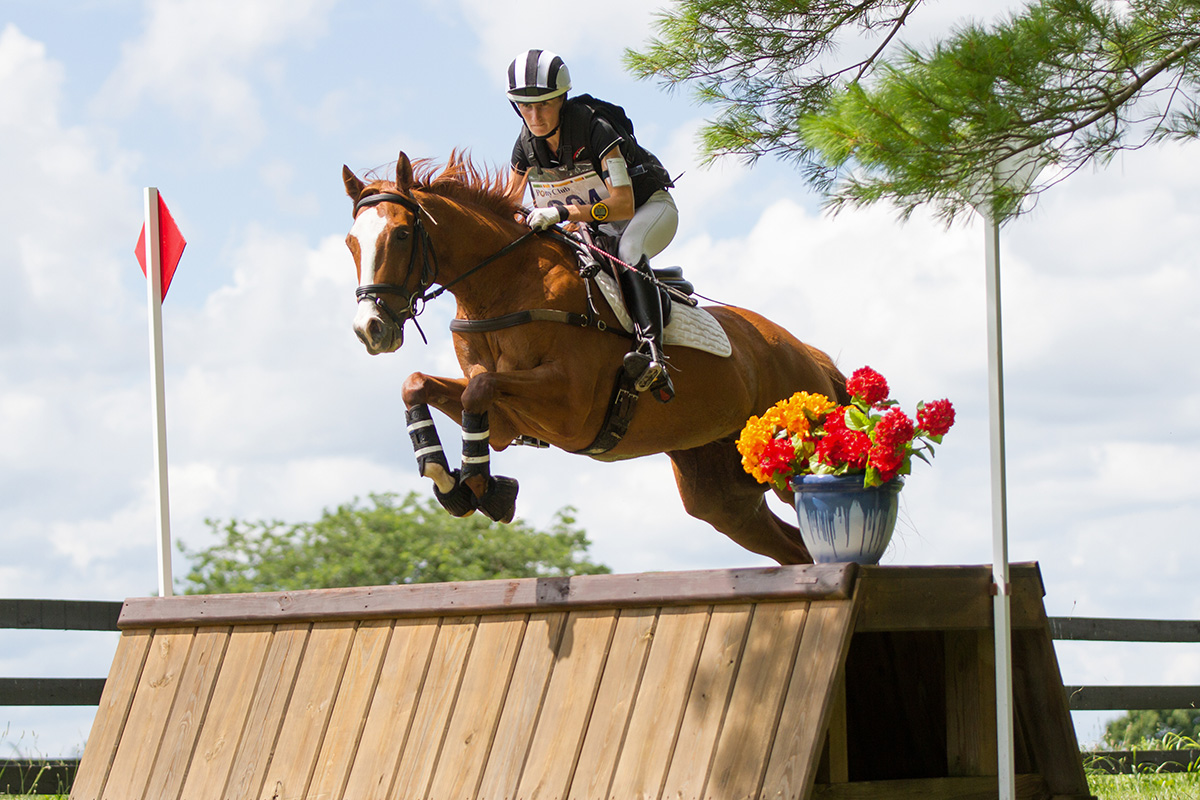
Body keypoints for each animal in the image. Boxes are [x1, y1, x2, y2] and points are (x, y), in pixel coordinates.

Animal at [338, 149, 849, 563]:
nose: (371, 329)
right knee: (792, 547)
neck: (502, 284)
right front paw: (454, 484)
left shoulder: (570, 408)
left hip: (789, 458)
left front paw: (483, 488)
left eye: (402, 235)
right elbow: (420, 385)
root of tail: (807, 353)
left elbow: (478, 390)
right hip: (723, 495)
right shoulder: (503, 421)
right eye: (351, 243)